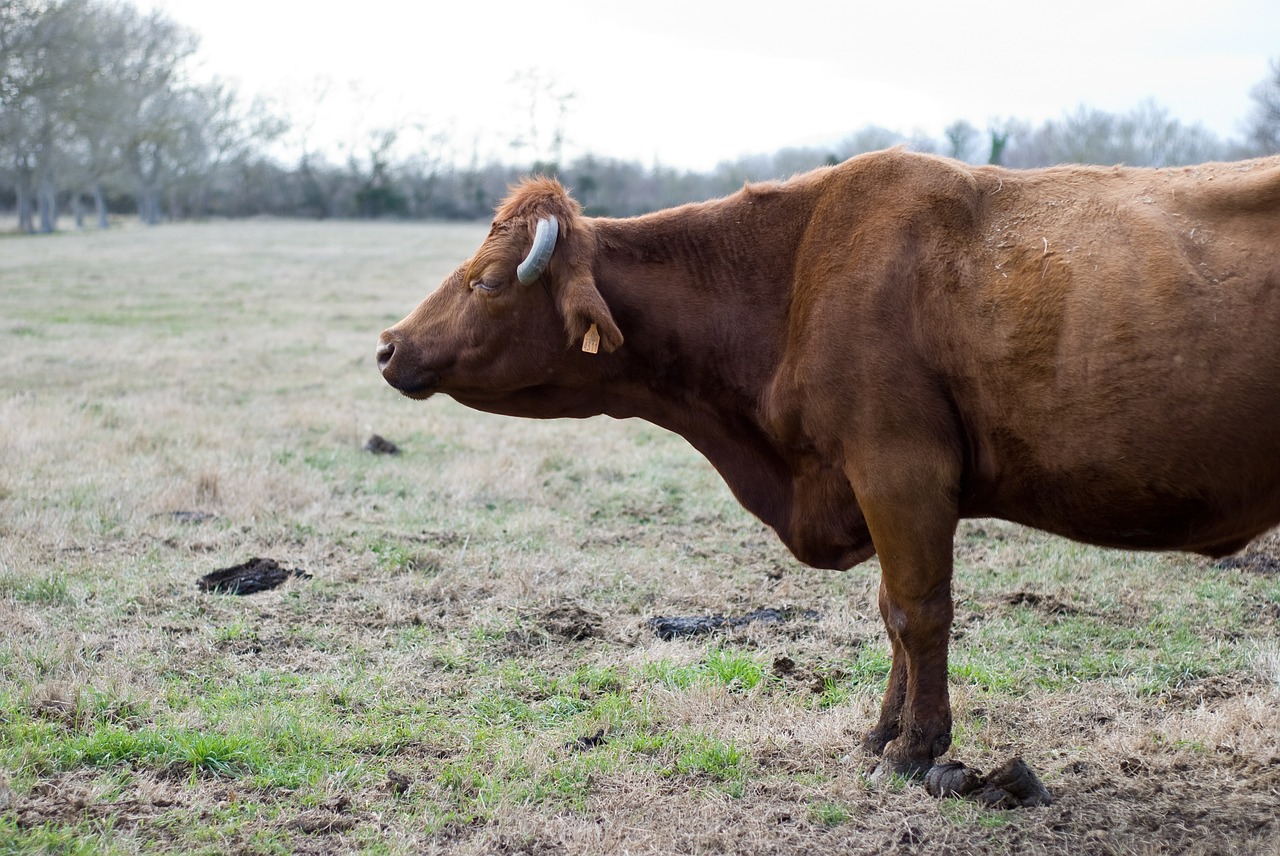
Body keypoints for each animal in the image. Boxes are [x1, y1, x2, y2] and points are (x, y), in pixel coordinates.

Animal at [376, 148, 1280, 783]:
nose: (389, 345)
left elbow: (919, 611)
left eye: (487, 281)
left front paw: (917, 750)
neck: (791, 280)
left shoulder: (900, 472)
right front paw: (881, 733)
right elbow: (891, 613)